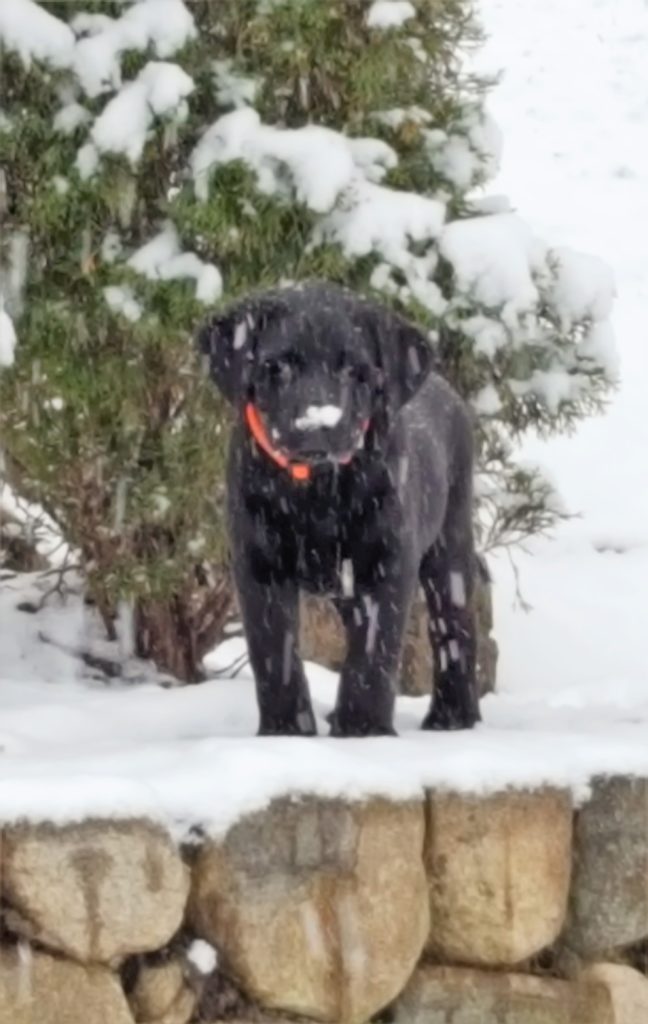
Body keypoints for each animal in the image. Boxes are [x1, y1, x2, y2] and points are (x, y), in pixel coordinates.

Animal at [198, 282, 481, 737]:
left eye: (355, 371)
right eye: (277, 367)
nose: (318, 425)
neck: (316, 492)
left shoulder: (387, 565)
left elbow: (373, 654)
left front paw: (363, 730)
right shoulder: (259, 567)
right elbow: (275, 656)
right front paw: (286, 732)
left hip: (449, 546)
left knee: (454, 629)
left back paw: (453, 716)